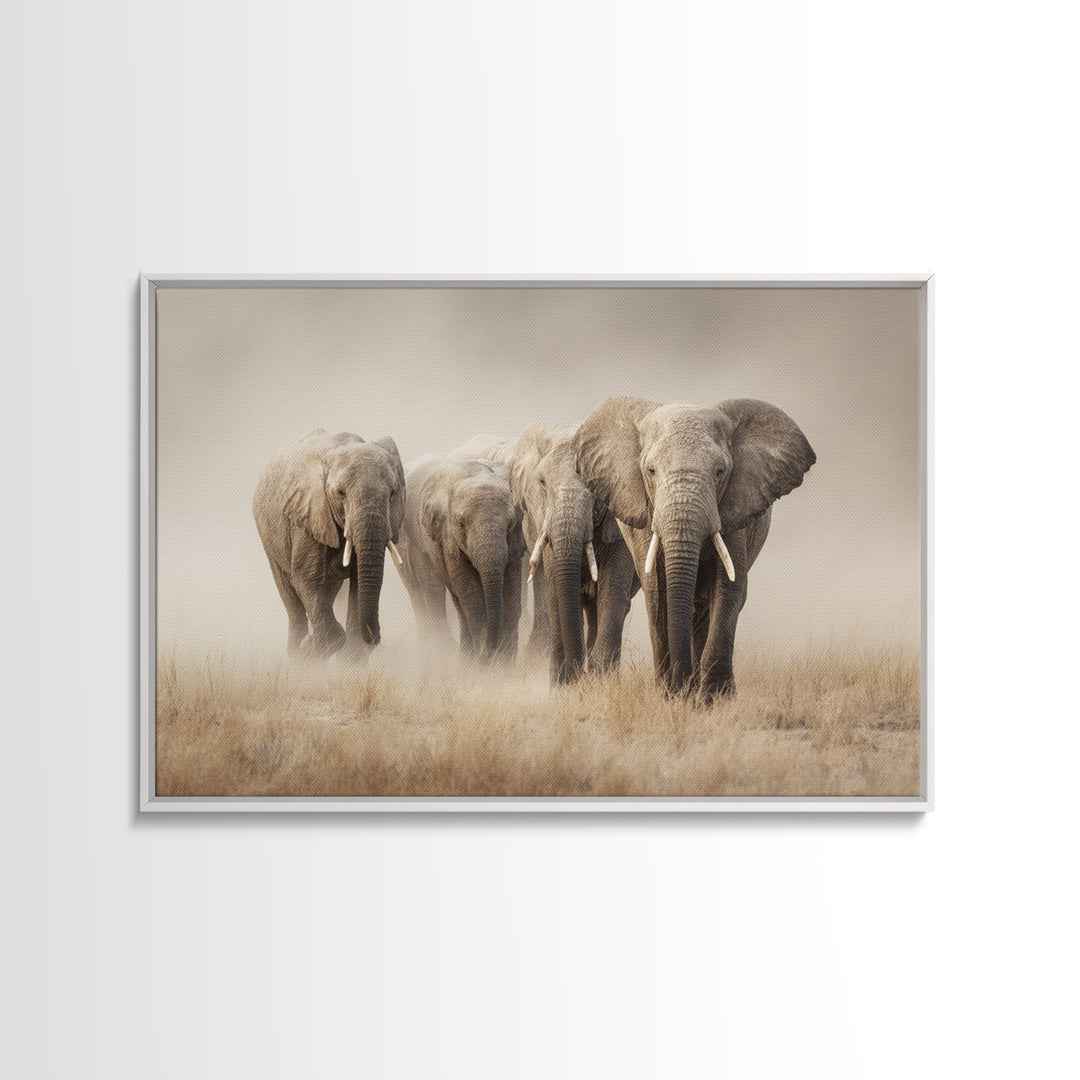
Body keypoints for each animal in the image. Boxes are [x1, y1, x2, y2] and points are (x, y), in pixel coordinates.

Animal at [253, 429, 405, 662]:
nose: (375, 639)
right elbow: (306, 578)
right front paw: (308, 648)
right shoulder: (308, 512)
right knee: (292, 600)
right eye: (340, 493)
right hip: (269, 537)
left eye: (392, 494)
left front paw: (349, 661)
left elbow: (358, 582)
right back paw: (297, 656)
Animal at [397, 456, 525, 664]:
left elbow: (512, 590)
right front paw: (485, 660)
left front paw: (504, 664)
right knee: (445, 594)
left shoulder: (514, 543)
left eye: (510, 524)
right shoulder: (447, 538)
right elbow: (469, 592)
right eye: (461, 523)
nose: (490, 650)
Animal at [510, 422, 639, 684]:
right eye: (542, 482)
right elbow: (557, 594)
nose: (578, 675)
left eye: (595, 485)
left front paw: (601, 682)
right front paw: (564, 685)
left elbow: (612, 592)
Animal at [574, 397, 815, 699]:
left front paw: (714, 700)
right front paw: (671, 696)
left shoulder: (735, 512)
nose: (682, 685)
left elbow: (729, 590)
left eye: (720, 472)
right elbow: (658, 593)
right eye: (651, 471)